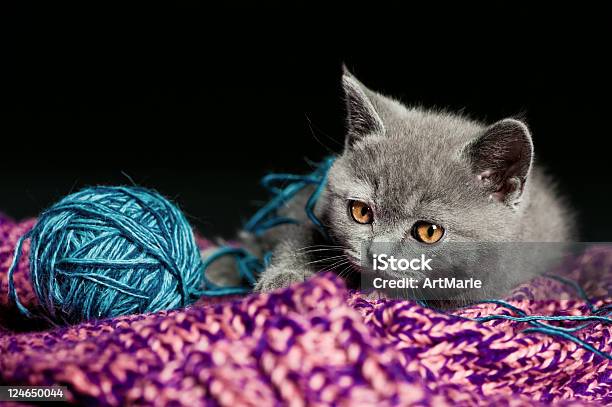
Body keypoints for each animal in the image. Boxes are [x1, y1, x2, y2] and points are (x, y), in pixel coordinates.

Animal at [203, 68, 572, 302]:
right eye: (361, 212)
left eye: (428, 232)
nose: (376, 254)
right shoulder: (308, 203)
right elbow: (293, 233)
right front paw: (287, 278)